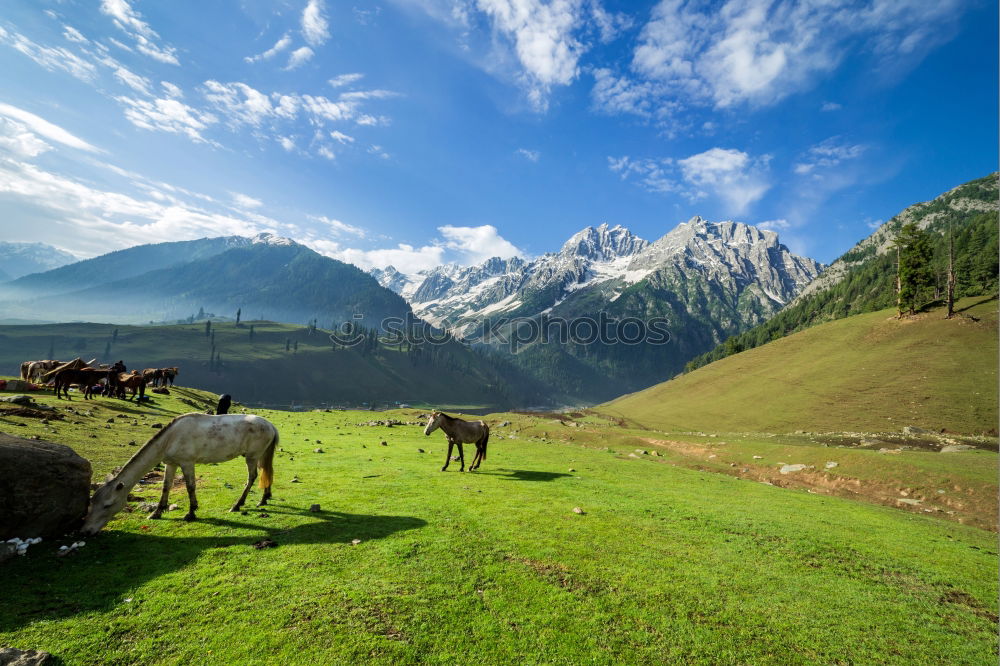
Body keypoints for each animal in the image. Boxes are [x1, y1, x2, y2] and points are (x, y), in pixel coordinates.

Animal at [79, 410, 278, 536]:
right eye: (91, 503)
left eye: (107, 505)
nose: (86, 531)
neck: (171, 438)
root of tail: (270, 425)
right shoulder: (171, 463)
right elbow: (166, 487)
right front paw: (156, 513)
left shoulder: (187, 463)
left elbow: (190, 486)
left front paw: (191, 513)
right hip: (261, 455)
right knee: (267, 472)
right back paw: (264, 499)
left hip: (252, 457)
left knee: (252, 477)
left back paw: (237, 505)